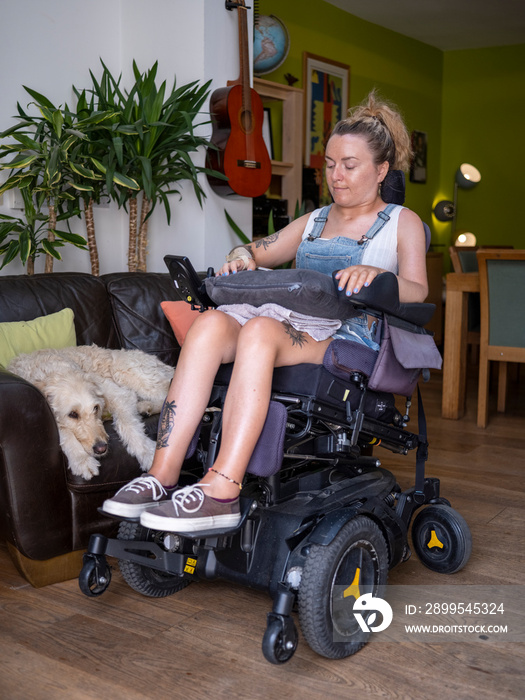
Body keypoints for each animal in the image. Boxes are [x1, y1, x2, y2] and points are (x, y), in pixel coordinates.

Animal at [8, 346, 173, 482]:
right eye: (72, 414)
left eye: (95, 408)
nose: (101, 448)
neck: (56, 370)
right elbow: (63, 432)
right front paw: (81, 460)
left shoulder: (120, 395)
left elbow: (127, 424)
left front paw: (147, 452)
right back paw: (145, 406)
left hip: (127, 372)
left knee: (167, 394)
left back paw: (145, 406)